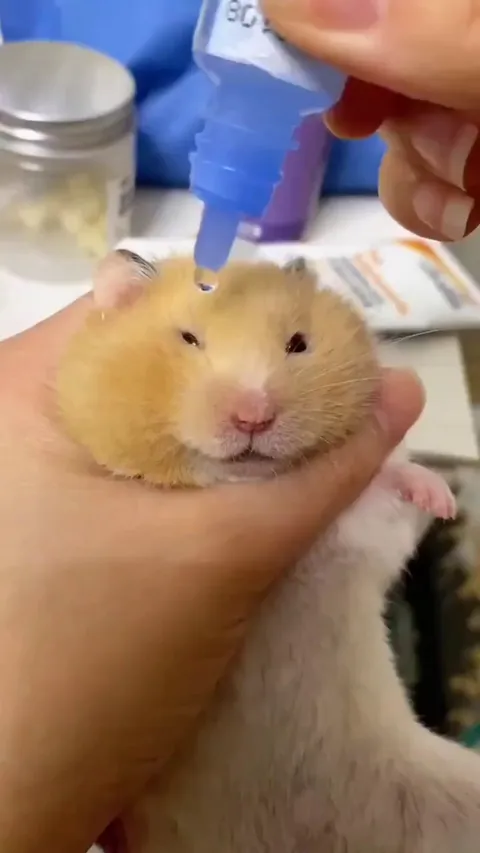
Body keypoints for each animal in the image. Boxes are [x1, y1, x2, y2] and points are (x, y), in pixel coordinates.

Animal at [57, 250, 480, 853]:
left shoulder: (362, 543)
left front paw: (437, 496)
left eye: (298, 344)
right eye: (189, 338)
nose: (253, 416)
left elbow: (384, 494)